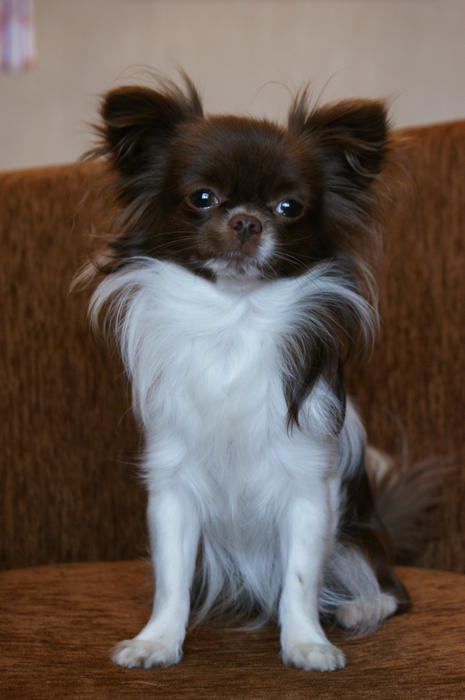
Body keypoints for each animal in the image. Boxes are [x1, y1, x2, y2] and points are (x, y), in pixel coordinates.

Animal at [85, 74, 410, 672]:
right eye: (202, 198)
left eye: (289, 207)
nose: (246, 221)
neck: (232, 322)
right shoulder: (172, 491)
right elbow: (170, 579)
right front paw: (157, 640)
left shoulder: (309, 492)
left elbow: (301, 581)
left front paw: (306, 643)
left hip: (357, 540)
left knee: (390, 592)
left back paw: (357, 611)